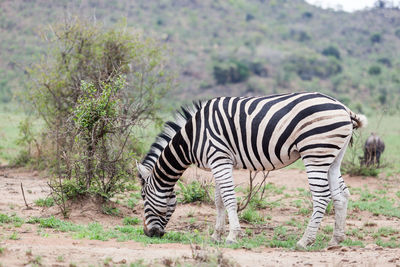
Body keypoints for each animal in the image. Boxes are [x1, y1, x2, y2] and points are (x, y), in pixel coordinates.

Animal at [138, 92, 366, 249]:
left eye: (143, 197)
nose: (148, 234)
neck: (193, 137)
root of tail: (344, 108)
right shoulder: (218, 162)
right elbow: (218, 201)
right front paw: (216, 235)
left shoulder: (219, 157)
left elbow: (229, 198)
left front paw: (232, 236)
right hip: (333, 157)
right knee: (341, 195)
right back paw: (336, 239)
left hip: (315, 153)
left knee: (321, 196)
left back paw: (304, 241)